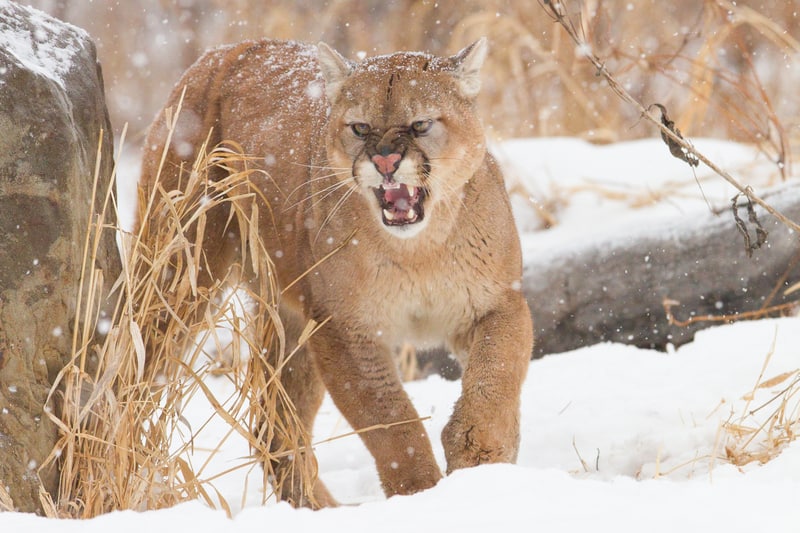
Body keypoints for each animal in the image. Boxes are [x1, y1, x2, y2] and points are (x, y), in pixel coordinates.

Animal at [141, 38, 536, 508]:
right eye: (360, 128)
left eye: (420, 124)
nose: (386, 161)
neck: (419, 251)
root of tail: (225, 51)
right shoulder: (344, 329)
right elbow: (391, 422)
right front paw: (420, 495)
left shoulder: (498, 303)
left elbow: (494, 380)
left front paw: (479, 459)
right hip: (179, 273)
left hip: (290, 317)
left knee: (273, 423)